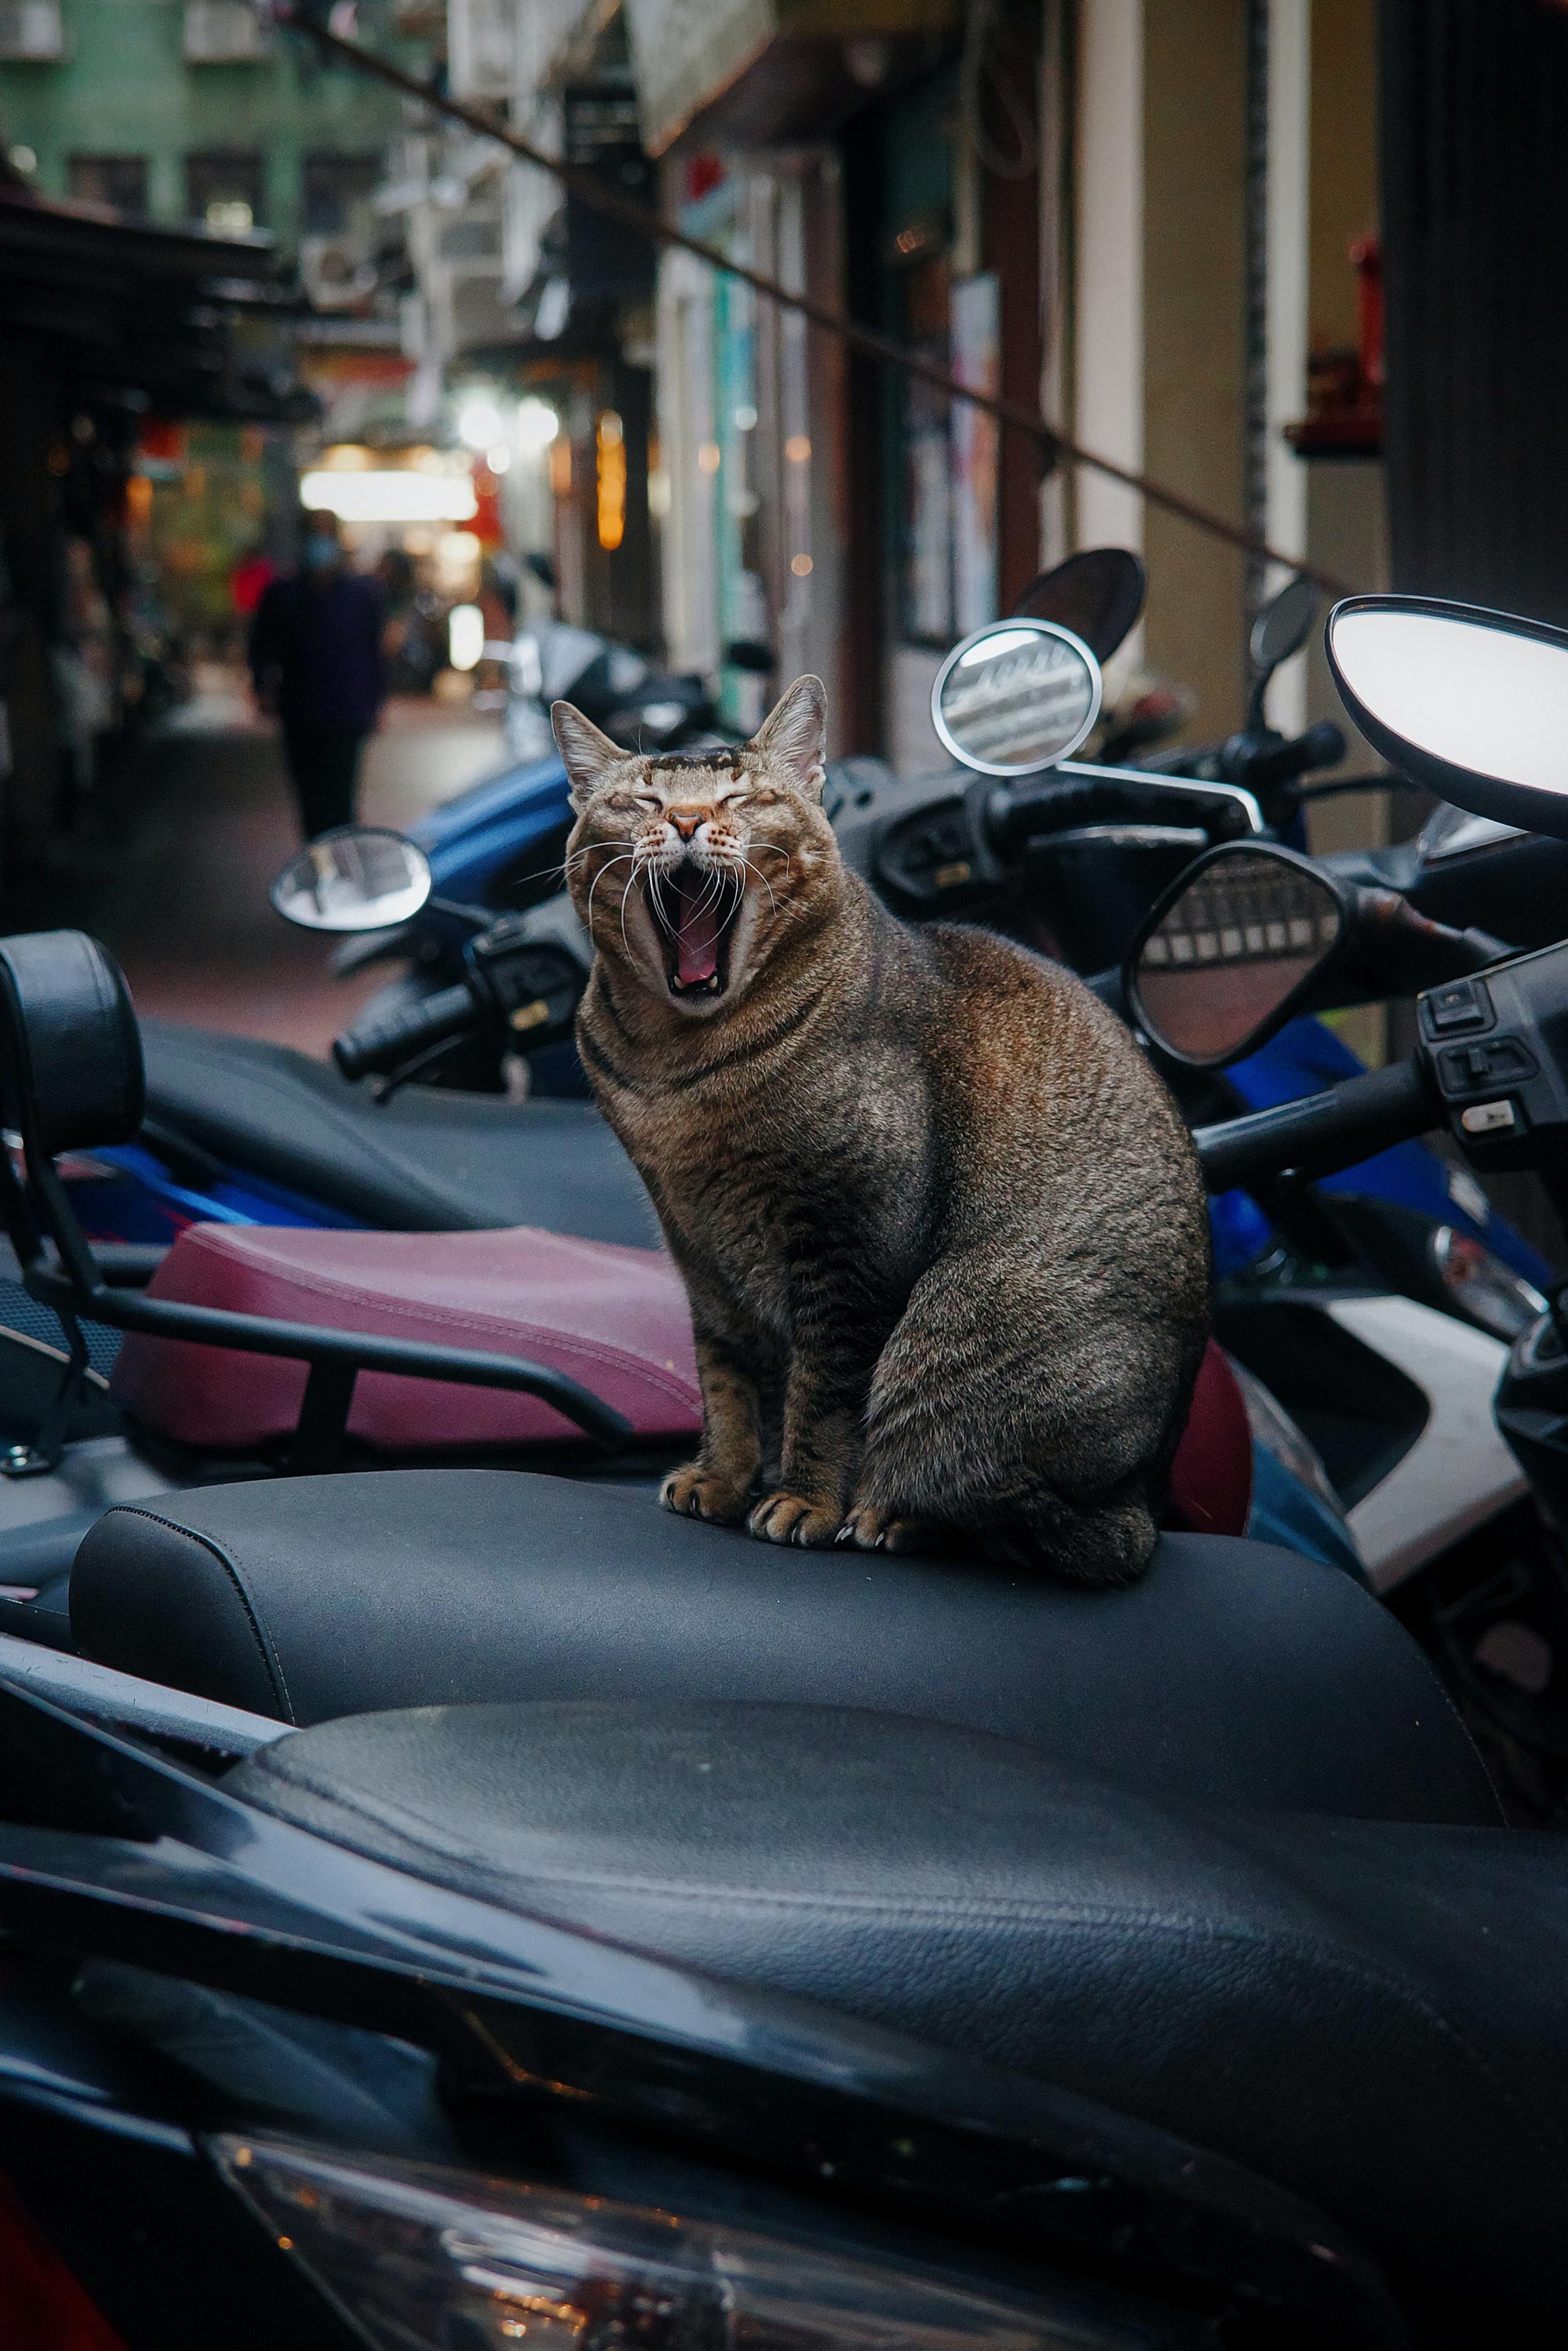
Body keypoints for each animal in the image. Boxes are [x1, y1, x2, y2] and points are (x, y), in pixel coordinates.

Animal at [554, 686, 1213, 1598]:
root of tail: (1143, 1496)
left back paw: (889, 1514)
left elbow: (822, 1395)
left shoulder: (848, 1240)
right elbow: (726, 1378)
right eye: (644, 801)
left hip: (953, 1344)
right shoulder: (697, 1248)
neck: (675, 1068)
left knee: (1003, 1507)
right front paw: (721, 1477)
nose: (686, 821)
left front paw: (803, 1499)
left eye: (739, 797)